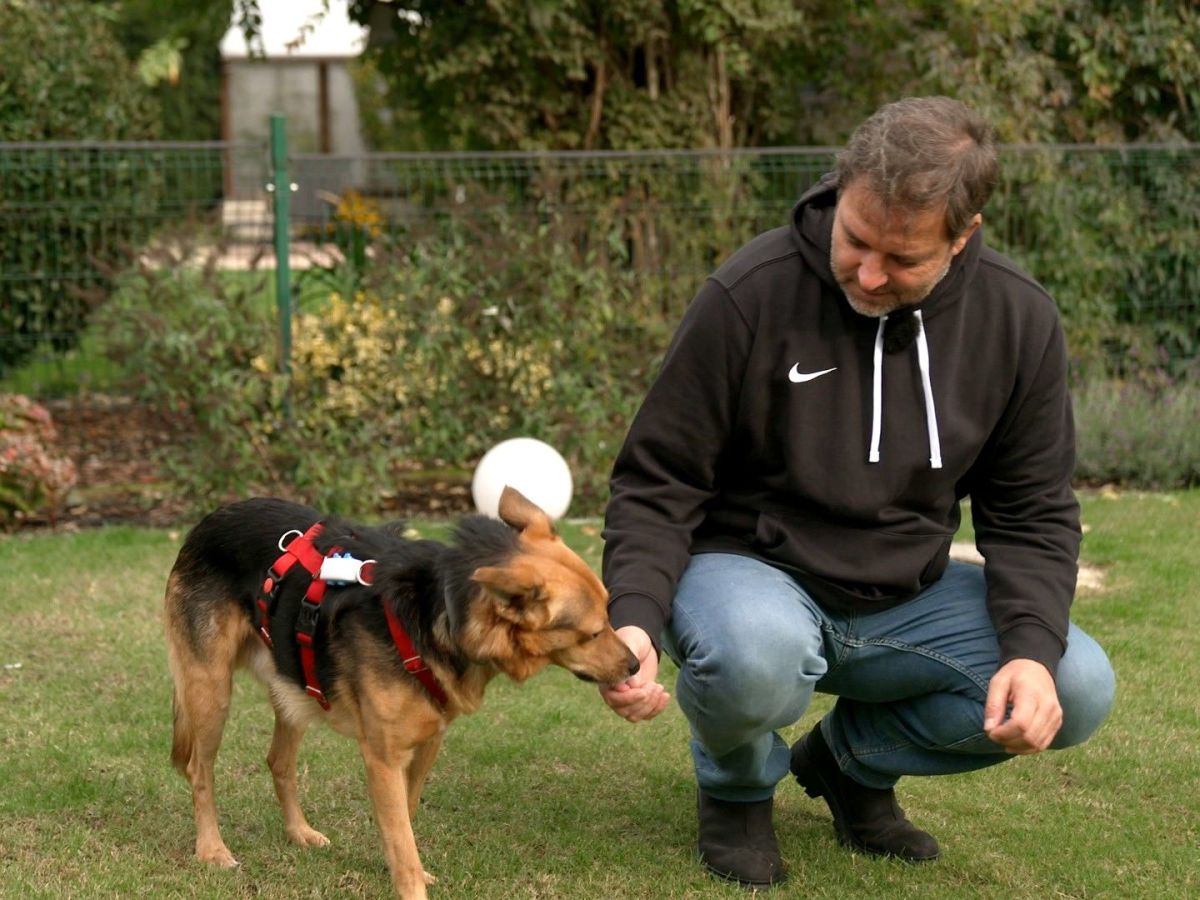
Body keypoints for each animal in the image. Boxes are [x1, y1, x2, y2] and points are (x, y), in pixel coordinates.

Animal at [170, 489, 643, 897]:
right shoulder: (383, 758)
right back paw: (212, 850)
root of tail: (212, 518)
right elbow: (400, 834)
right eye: (592, 633)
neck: (440, 610)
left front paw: (396, 866)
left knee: (278, 762)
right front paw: (409, 884)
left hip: (292, 685)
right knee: (199, 772)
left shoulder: (427, 743)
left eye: (609, 615)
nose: (636, 666)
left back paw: (299, 832)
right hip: (211, 692)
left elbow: (406, 819)